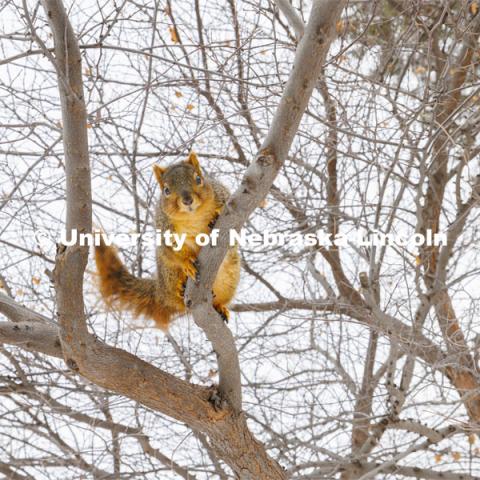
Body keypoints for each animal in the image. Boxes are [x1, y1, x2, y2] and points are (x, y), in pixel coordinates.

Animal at [94, 153, 240, 330]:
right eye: (166, 190)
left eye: (199, 179)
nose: (187, 200)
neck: (193, 216)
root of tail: (160, 289)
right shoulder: (164, 230)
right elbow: (172, 250)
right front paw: (187, 262)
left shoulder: (223, 197)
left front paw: (216, 214)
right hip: (169, 272)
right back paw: (181, 288)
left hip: (230, 278)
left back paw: (219, 306)